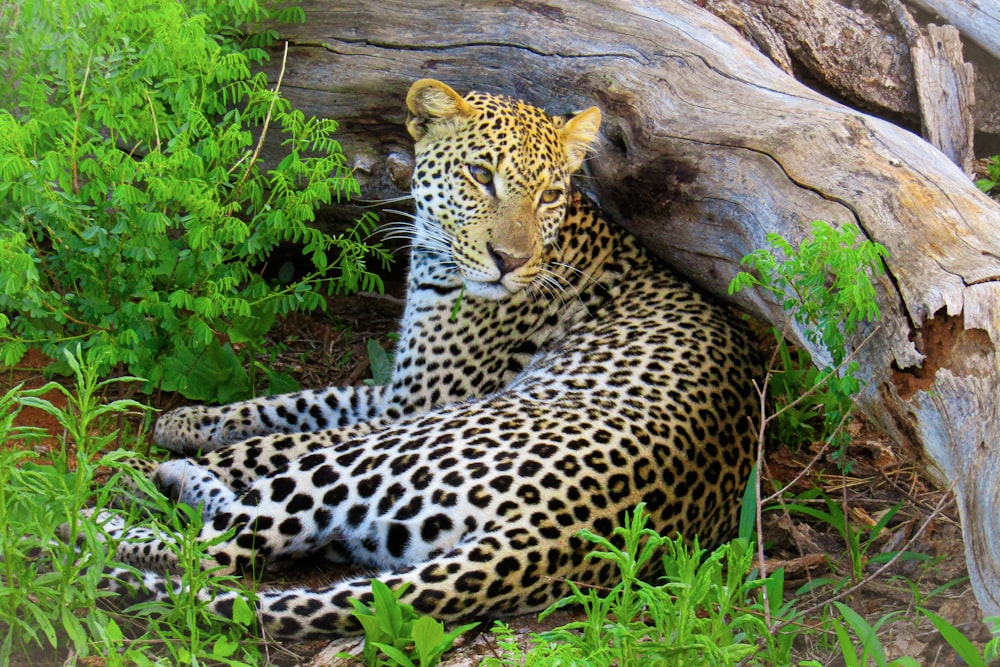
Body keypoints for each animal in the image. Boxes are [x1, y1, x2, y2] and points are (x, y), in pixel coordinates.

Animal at [99, 79, 756, 640]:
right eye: (480, 175)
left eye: (549, 195)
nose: (510, 261)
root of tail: (562, 532)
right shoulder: (398, 390)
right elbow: (297, 402)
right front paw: (184, 421)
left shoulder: (415, 406)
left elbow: (274, 439)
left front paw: (151, 457)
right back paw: (179, 477)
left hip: (384, 451)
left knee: (215, 550)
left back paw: (104, 515)